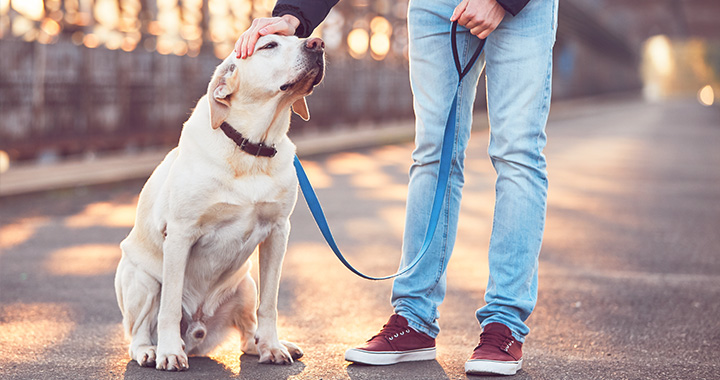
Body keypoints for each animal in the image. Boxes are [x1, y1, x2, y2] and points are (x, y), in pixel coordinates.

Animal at [114, 36, 324, 372]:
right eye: (269, 45)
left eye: (299, 38)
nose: (317, 43)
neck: (252, 148)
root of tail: (198, 337)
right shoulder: (180, 234)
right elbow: (169, 307)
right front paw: (169, 353)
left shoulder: (278, 232)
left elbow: (270, 304)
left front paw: (272, 346)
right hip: (141, 279)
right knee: (138, 330)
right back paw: (150, 350)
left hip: (246, 284)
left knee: (247, 332)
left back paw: (264, 344)